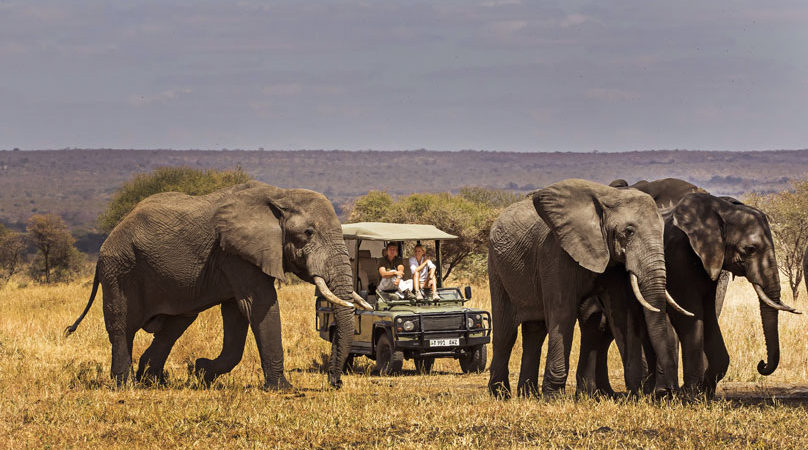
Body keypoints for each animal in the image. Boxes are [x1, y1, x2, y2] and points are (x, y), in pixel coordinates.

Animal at [66, 181, 372, 388]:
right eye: (308, 233)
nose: (334, 382)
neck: (280, 194)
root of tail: (110, 235)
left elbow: (237, 315)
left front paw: (201, 371)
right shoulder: (235, 253)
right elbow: (259, 306)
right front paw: (284, 389)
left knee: (174, 326)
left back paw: (153, 381)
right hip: (119, 269)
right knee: (122, 326)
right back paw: (126, 385)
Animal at [486, 178, 680, 398]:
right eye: (628, 232)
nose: (665, 391)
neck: (608, 198)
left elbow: (621, 314)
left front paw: (637, 394)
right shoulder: (556, 253)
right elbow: (563, 313)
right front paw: (553, 398)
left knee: (535, 331)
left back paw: (528, 395)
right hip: (496, 268)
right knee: (506, 333)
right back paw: (500, 394)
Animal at [576, 179, 800, 398]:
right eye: (750, 249)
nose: (762, 364)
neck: (721, 209)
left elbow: (709, 316)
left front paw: (704, 393)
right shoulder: (679, 257)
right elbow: (689, 316)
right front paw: (690, 394)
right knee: (601, 325)